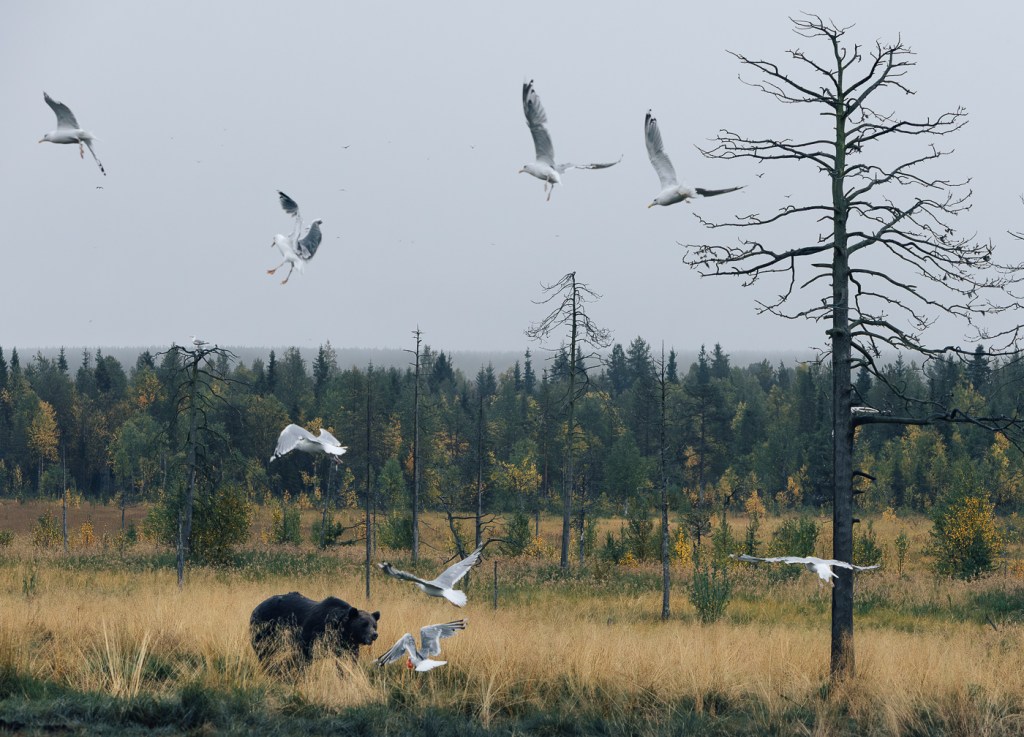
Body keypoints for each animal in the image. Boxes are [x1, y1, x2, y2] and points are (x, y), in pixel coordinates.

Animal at [250, 592, 380, 668]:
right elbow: (305, 656)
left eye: (374, 625)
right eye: (364, 624)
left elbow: (348, 660)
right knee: (264, 651)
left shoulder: (347, 646)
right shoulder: (313, 635)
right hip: (265, 628)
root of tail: (257, 607)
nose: (374, 634)